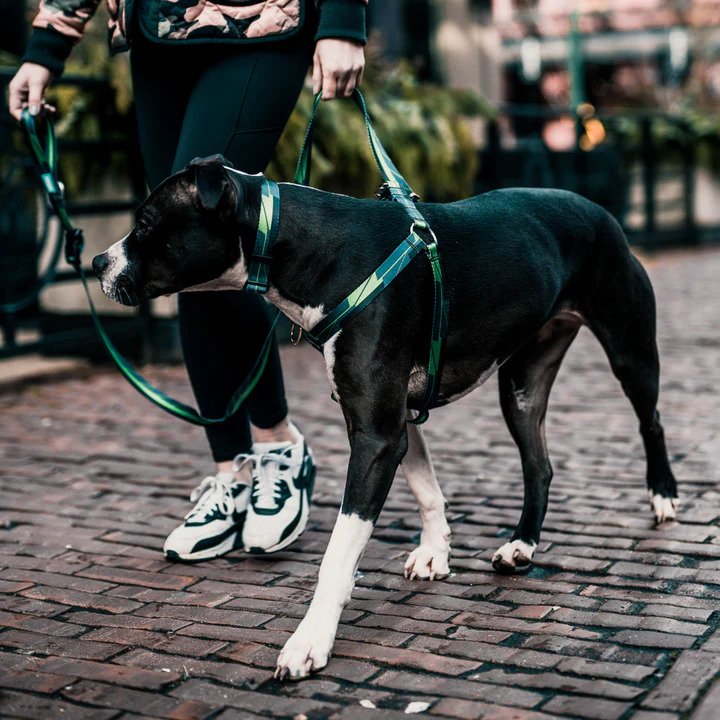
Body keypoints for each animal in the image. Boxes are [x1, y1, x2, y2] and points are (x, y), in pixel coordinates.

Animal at [93, 154, 679, 680]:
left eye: (145, 223)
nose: (97, 262)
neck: (311, 250)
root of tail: (598, 209)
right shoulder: (394, 420)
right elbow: (426, 488)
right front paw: (436, 552)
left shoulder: (376, 437)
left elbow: (337, 555)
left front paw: (309, 642)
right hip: (522, 385)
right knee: (539, 465)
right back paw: (521, 546)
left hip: (629, 350)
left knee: (650, 421)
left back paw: (663, 496)